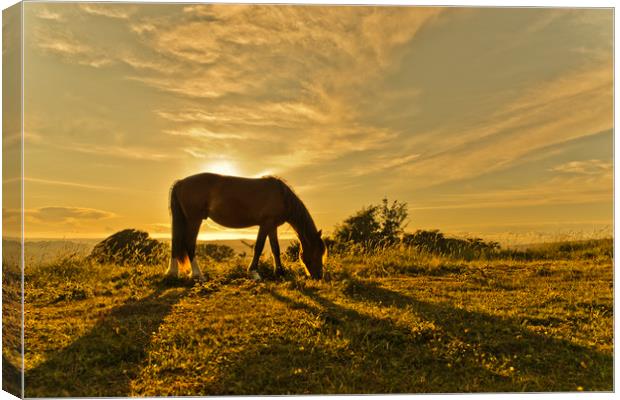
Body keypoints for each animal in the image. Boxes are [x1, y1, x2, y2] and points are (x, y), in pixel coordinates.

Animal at [165, 173, 330, 282]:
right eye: (317, 252)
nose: (319, 276)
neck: (282, 196)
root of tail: (180, 182)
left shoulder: (272, 227)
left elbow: (275, 249)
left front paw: (280, 272)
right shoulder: (265, 224)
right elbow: (259, 247)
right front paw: (254, 272)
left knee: (176, 242)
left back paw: (173, 273)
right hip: (194, 219)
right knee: (189, 243)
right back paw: (198, 275)